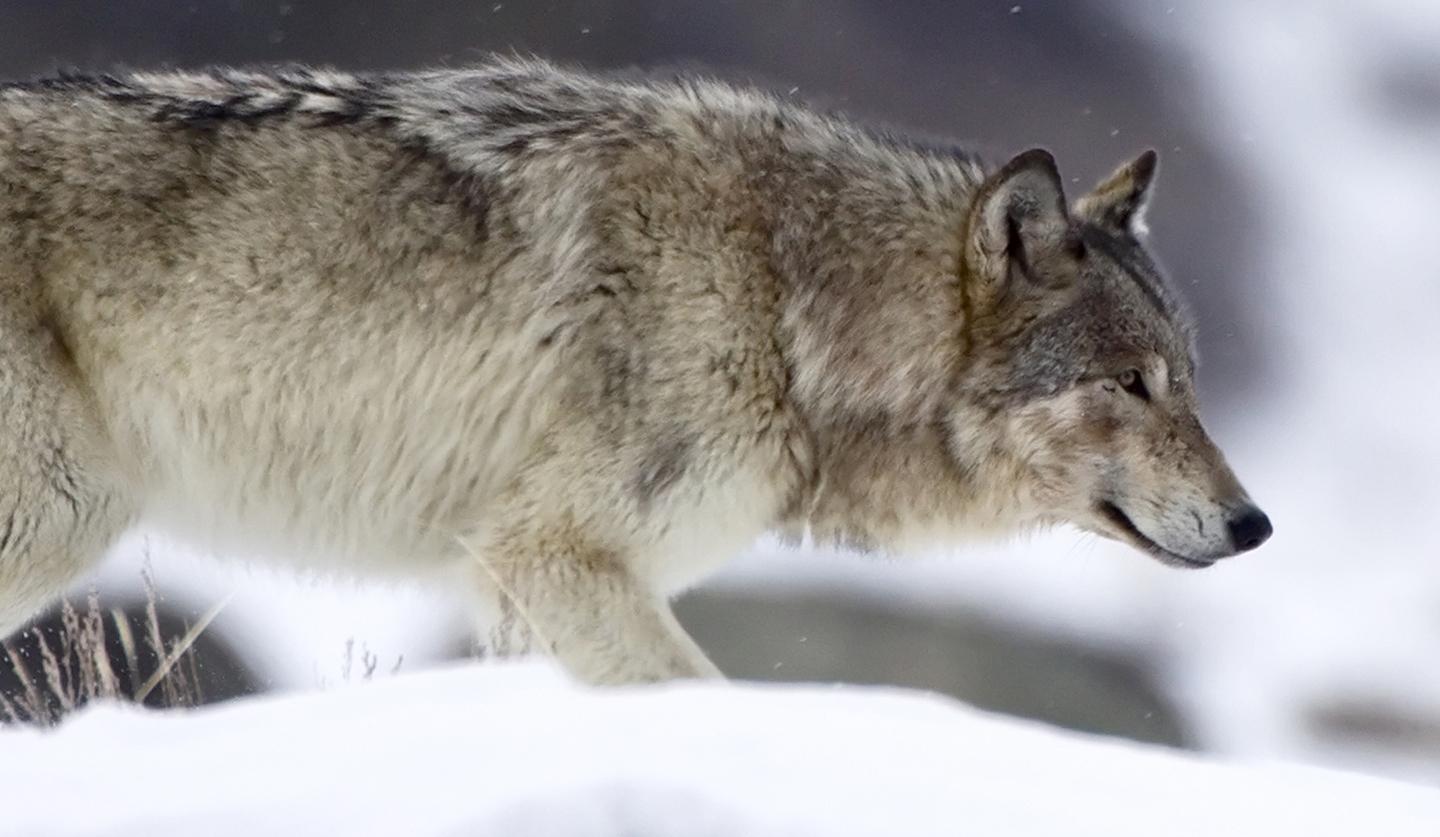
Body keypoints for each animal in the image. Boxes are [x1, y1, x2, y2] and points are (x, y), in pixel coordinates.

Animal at [0, 58, 1267, 685]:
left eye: (1188, 378)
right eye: (1131, 383)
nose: (1253, 524)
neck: (785, 302)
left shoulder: (517, 593)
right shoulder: (555, 557)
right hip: (62, 518)